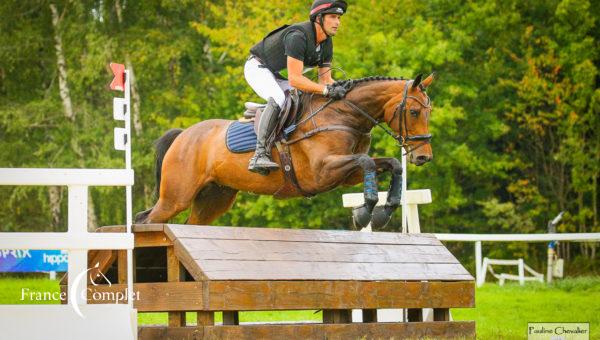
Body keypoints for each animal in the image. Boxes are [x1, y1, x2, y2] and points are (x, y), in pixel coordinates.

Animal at [135, 74, 434, 228]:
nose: (423, 157)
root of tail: (183, 135)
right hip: (176, 197)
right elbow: (367, 162)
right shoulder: (323, 171)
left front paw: (383, 211)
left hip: (214, 198)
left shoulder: (346, 174)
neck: (342, 116)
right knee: (145, 220)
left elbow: (391, 163)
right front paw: (363, 214)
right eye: (414, 111)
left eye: (429, 111)